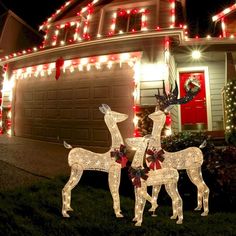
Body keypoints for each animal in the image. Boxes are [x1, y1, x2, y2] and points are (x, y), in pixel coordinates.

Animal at [148, 80, 209, 216]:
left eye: (159, 107)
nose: (149, 114)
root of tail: (200, 149)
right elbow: (155, 192)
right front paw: (152, 210)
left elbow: (155, 192)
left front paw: (153, 211)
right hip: (194, 170)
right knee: (200, 186)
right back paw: (197, 208)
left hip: (193, 169)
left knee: (204, 187)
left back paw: (205, 213)